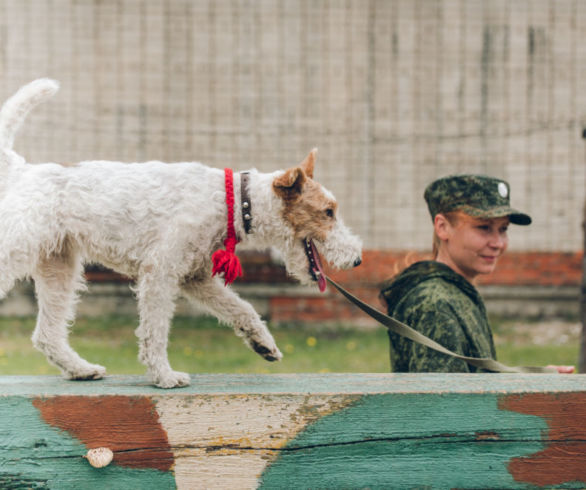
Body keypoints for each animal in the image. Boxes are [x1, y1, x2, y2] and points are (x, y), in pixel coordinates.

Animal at [0, 78, 360, 388]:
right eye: (328, 211)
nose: (357, 258)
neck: (232, 201)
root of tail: (22, 169)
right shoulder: (160, 271)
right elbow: (155, 331)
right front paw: (164, 376)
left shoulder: (195, 275)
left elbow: (242, 308)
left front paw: (263, 345)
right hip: (17, 253)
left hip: (58, 266)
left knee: (46, 335)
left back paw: (81, 369)